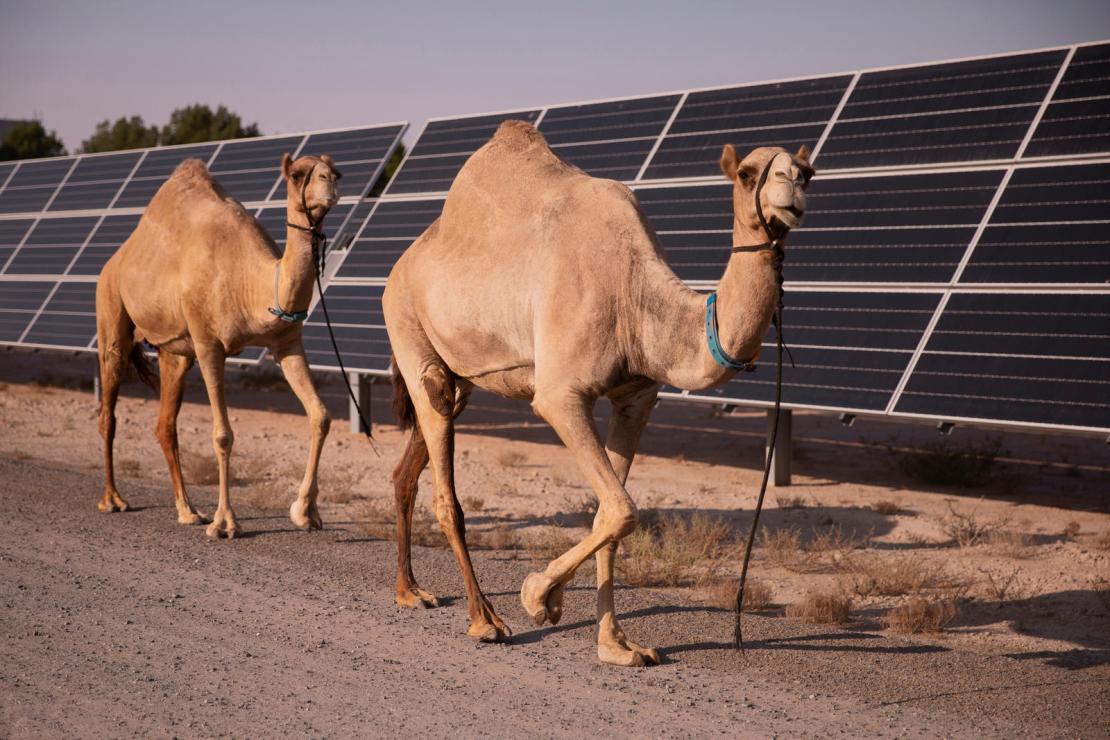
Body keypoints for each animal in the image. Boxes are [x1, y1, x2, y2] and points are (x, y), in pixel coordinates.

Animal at [98, 155, 344, 539]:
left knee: (165, 425)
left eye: (336, 172)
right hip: (111, 309)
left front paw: (305, 512)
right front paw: (225, 523)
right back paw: (113, 500)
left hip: (175, 353)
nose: (329, 181)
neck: (251, 283)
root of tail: (115, 261)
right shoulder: (209, 344)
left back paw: (187, 511)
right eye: (298, 175)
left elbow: (321, 416)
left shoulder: (287, 342)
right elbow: (223, 435)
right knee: (108, 411)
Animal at [384, 121, 816, 665]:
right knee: (444, 481)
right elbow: (622, 509)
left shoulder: (636, 399)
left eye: (810, 171)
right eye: (746, 173)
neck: (636, 297)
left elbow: (609, 515)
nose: (791, 184)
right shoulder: (561, 395)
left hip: (459, 371)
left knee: (413, 459)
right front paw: (539, 596)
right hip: (405, 323)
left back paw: (409, 591)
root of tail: (404, 261)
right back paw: (484, 619)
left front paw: (617, 645)